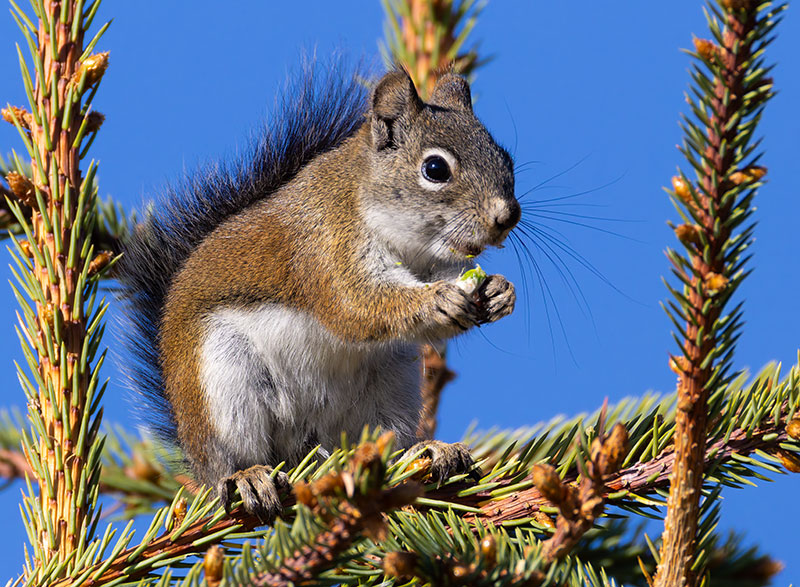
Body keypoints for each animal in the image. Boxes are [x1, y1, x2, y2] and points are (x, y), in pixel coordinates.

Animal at [117, 66, 519, 522]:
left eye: (505, 158)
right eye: (435, 168)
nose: (507, 216)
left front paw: (499, 290)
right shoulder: (326, 249)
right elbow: (357, 305)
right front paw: (438, 300)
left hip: (391, 388)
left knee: (382, 446)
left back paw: (427, 451)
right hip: (223, 386)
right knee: (230, 463)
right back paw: (246, 478)